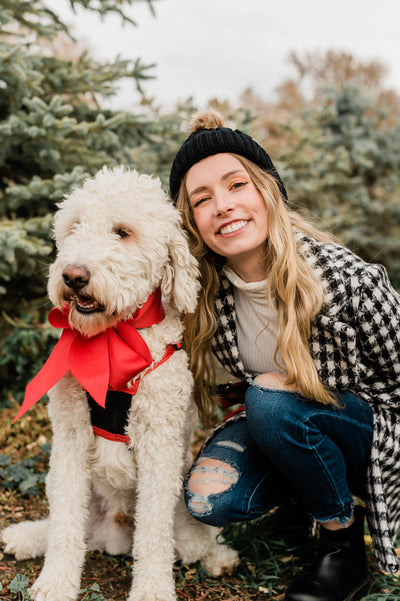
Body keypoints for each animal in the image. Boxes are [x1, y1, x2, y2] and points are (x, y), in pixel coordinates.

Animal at [1, 166, 238, 600]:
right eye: (74, 227)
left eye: (123, 232)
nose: (73, 275)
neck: (114, 338)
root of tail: (113, 530)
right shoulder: (70, 438)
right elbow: (64, 525)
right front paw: (55, 582)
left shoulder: (159, 445)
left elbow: (154, 536)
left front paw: (152, 591)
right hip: (67, 488)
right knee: (70, 526)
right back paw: (25, 536)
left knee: (189, 542)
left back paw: (217, 556)